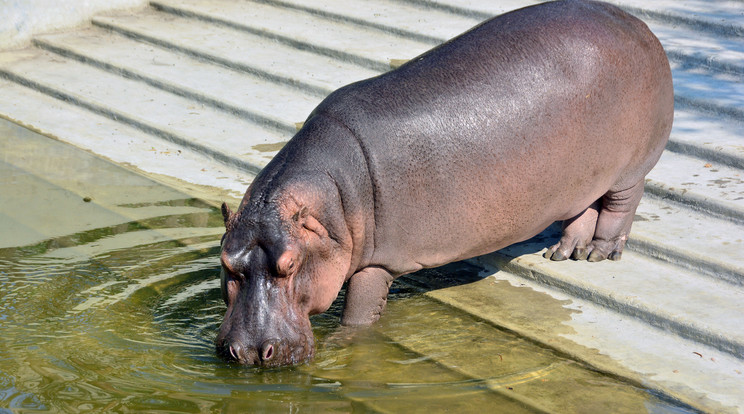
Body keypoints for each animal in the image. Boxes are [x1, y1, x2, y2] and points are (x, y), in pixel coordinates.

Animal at [214, 0, 676, 366]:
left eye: (290, 265)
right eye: (225, 262)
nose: (250, 352)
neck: (332, 210)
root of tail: (638, 23)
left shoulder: (380, 261)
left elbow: (360, 310)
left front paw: (345, 342)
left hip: (632, 168)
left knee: (621, 206)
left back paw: (599, 253)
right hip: (584, 176)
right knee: (584, 207)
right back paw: (563, 253)